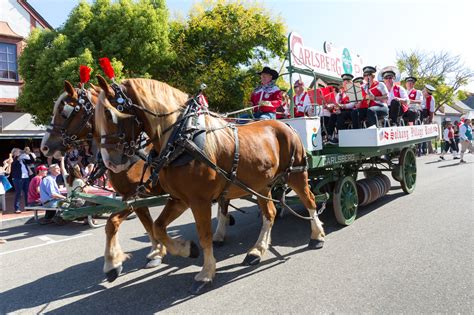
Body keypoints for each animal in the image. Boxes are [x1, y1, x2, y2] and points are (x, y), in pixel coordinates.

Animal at [41, 81, 167, 282]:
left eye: (64, 112)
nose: (44, 147)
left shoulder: (134, 195)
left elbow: (111, 223)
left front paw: (112, 264)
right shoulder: (136, 198)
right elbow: (148, 225)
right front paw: (156, 253)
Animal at [96, 78, 326, 296]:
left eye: (110, 114)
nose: (110, 162)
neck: (181, 140)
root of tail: (287, 126)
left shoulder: (200, 201)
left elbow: (204, 235)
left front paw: (206, 273)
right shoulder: (178, 199)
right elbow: (158, 227)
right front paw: (187, 249)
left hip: (297, 174)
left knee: (310, 201)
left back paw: (317, 236)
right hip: (261, 185)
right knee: (269, 213)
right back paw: (257, 250)